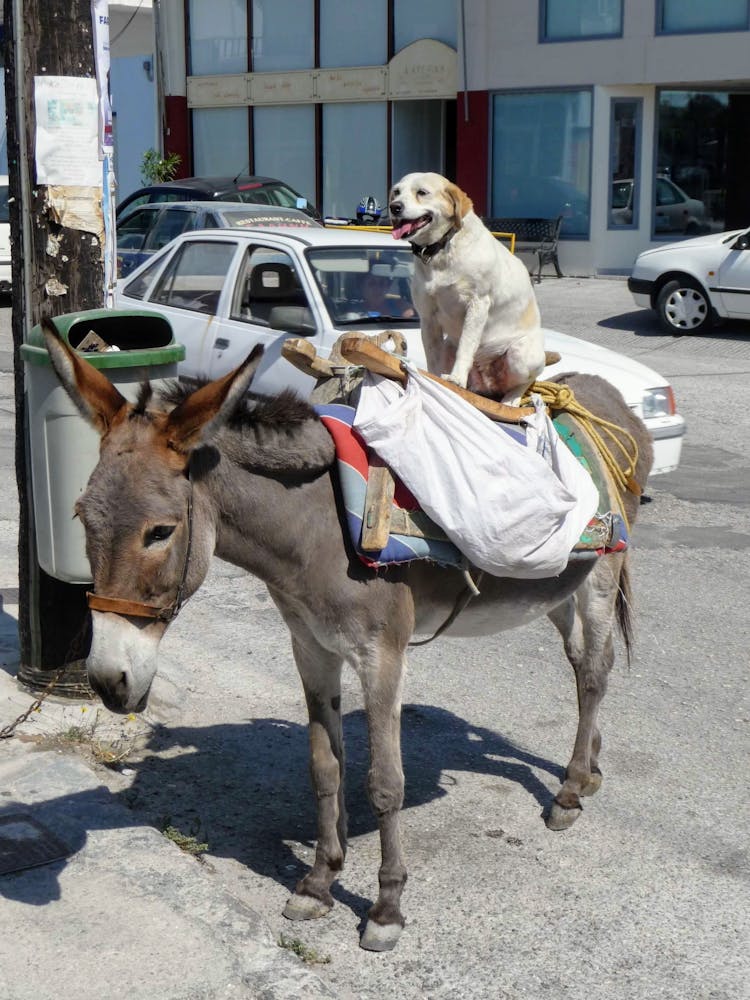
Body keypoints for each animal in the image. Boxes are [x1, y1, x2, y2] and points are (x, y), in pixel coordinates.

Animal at [388, 171, 548, 402]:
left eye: (422, 192)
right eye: (396, 192)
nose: (394, 207)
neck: (441, 250)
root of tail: (488, 383)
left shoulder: (477, 305)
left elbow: (466, 345)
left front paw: (456, 378)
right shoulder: (427, 317)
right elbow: (432, 357)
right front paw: (432, 380)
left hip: (522, 356)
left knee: (523, 384)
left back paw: (510, 400)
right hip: (449, 346)